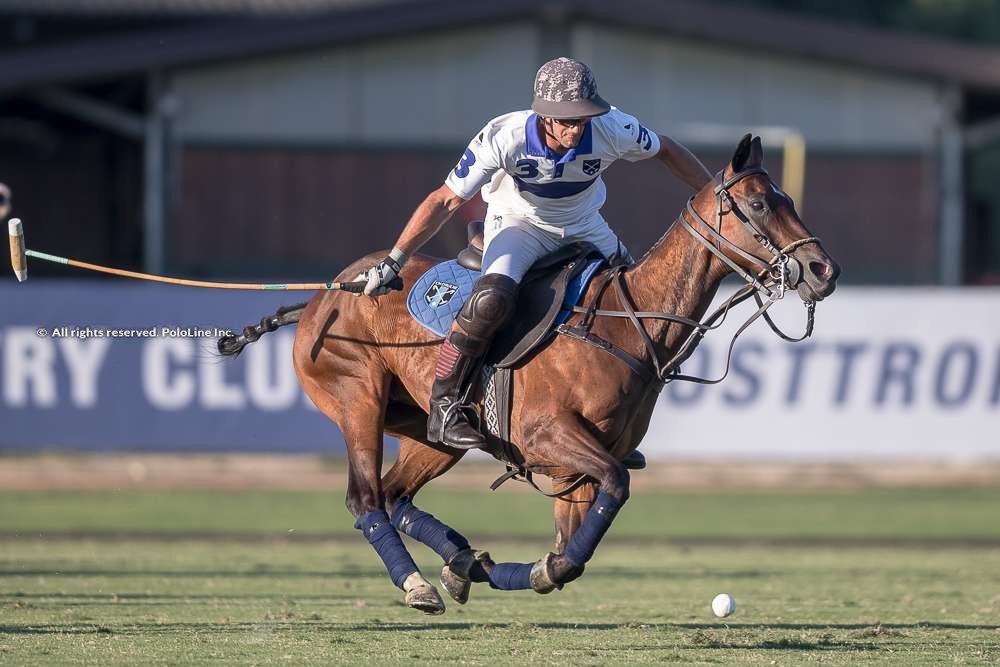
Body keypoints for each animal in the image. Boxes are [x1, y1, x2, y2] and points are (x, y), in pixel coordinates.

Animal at [223, 134, 840, 616]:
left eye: (786, 199)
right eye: (758, 204)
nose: (823, 270)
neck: (628, 323)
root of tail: (320, 297)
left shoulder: (578, 468)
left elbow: (574, 547)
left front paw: (493, 568)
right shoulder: (550, 438)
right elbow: (612, 493)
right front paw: (521, 570)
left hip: (426, 433)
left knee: (398, 494)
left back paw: (460, 560)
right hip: (358, 401)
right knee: (365, 499)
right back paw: (420, 582)